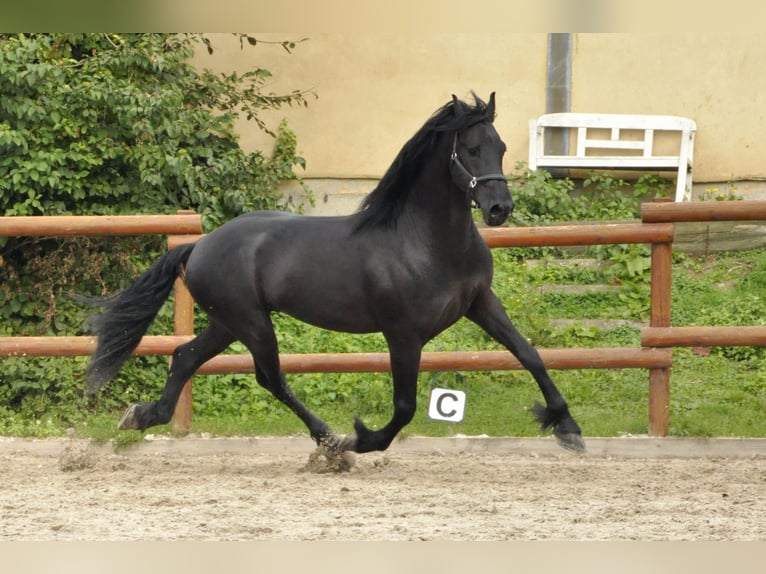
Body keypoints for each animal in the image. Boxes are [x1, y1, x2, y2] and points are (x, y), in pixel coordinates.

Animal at [84, 93, 584, 454]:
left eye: (501, 147)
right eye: (473, 149)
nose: (500, 209)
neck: (426, 242)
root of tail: (199, 244)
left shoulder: (480, 303)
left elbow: (530, 354)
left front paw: (567, 426)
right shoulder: (403, 333)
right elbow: (405, 406)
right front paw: (364, 440)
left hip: (228, 322)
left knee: (186, 356)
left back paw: (143, 416)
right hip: (251, 322)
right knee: (270, 377)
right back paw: (332, 441)